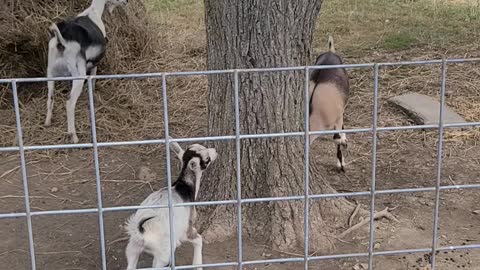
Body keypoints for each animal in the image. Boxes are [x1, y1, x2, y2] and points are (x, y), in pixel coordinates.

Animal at [44, 0, 127, 143]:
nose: (126, 2)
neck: (93, 11)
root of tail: (62, 41)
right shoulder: (94, 64)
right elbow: (92, 80)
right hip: (78, 75)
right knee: (69, 103)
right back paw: (73, 136)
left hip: (50, 73)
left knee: (50, 98)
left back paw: (47, 122)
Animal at [124, 140, 218, 268]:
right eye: (207, 159)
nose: (215, 151)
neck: (183, 187)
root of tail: (141, 232)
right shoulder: (186, 228)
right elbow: (198, 239)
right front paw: (197, 265)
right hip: (164, 253)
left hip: (133, 247)